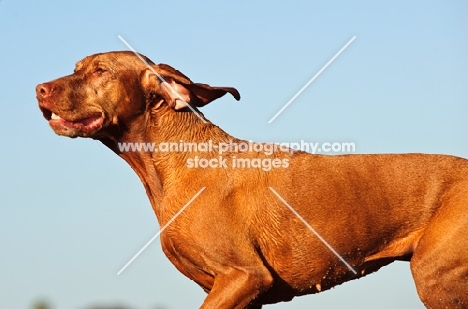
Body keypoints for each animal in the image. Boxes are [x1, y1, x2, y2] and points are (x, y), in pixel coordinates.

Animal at [37, 51, 468, 306]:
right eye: (76, 69)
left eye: (101, 71)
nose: (39, 88)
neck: (174, 165)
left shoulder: (243, 277)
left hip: (435, 274)